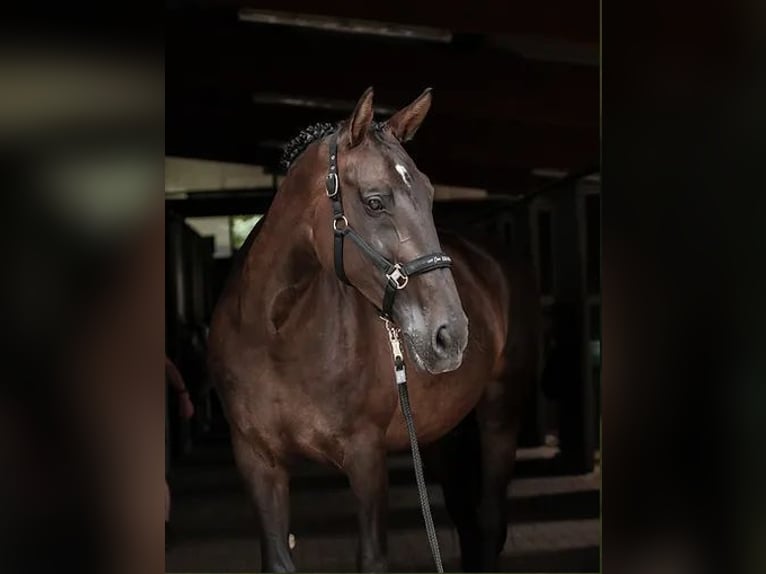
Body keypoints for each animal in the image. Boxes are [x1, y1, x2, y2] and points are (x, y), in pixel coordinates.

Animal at [207, 88, 544, 572]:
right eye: (374, 202)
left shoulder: (365, 457)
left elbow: (372, 558)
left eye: (428, 193)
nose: (451, 335)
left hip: (500, 413)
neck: (276, 336)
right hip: (439, 431)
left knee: (489, 520)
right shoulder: (257, 460)